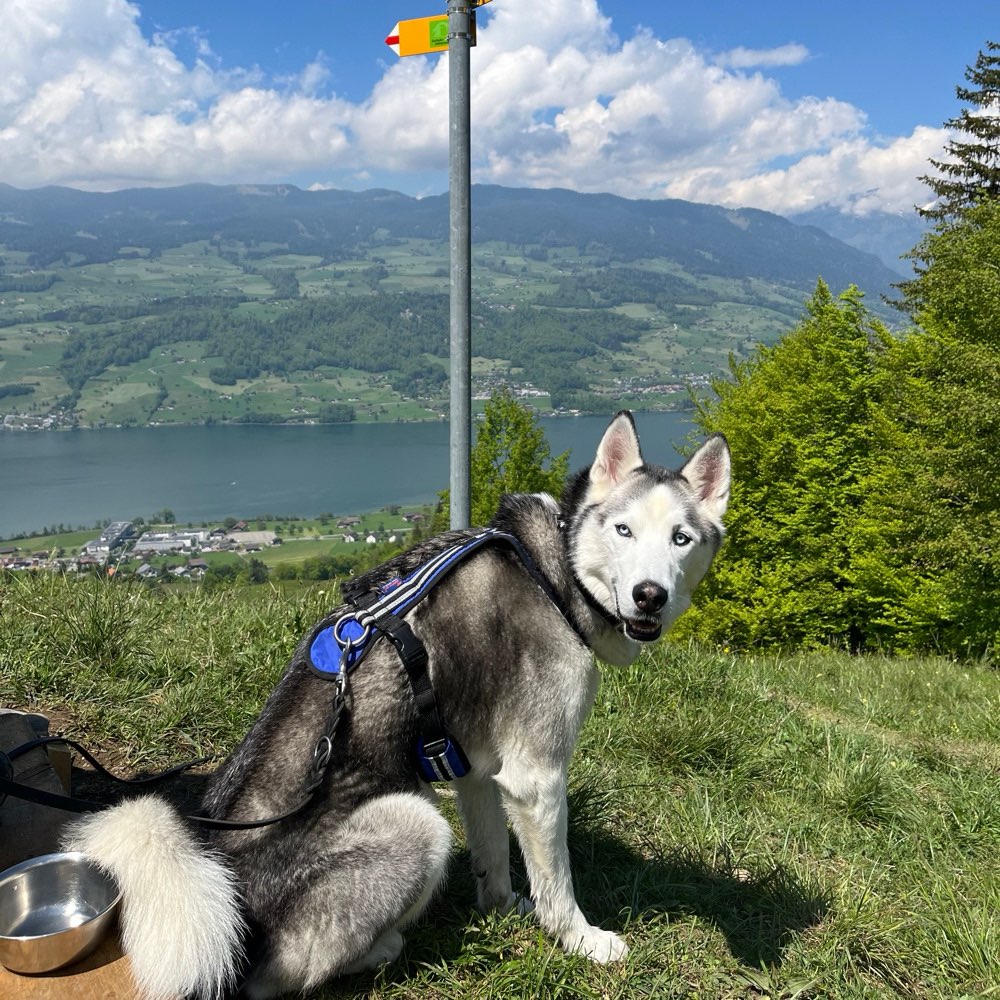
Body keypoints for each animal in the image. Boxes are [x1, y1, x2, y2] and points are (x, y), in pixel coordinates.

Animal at [66, 410, 732, 996]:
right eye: (623, 531)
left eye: (681, 539)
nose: (650, 596)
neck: (554, 571)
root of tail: (227, 900)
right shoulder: (537, 777)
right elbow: (557, 884)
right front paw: (581, 941)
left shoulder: (478, 767)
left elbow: (494, 858)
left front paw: (503, 909)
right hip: (417, 823)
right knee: (278, 977)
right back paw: (382, 947)